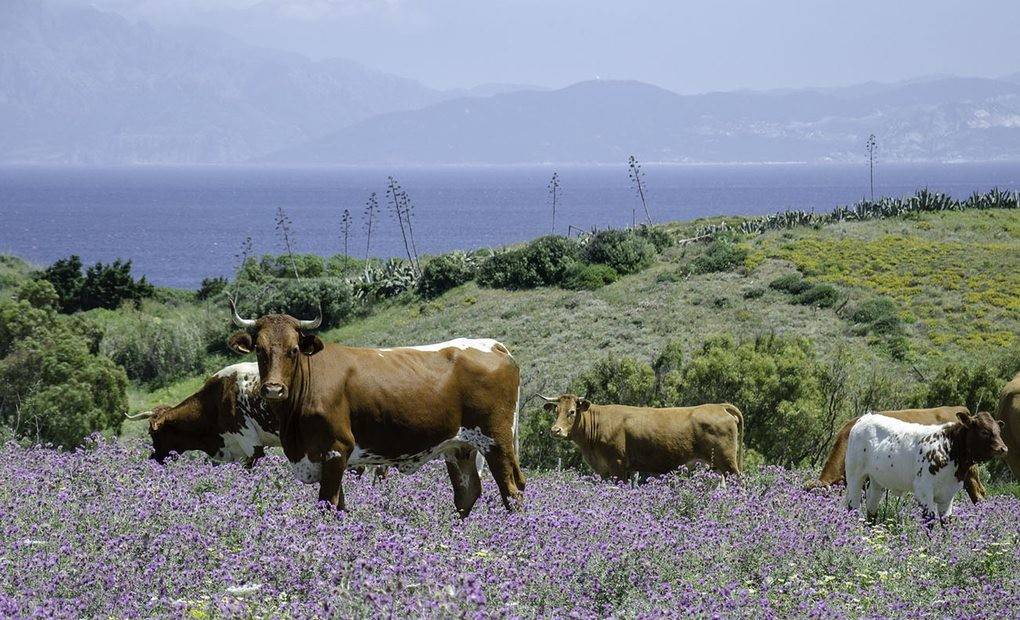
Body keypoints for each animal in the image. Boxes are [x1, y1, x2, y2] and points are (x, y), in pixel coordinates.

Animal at [226, 301, 522, 515]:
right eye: (260, 350)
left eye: (293, 350)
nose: (273, 389)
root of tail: (491, 345)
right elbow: (340, 506)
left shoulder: (336, 449)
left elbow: (329, 505)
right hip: (460, 447)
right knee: (467, 494)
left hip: (496, 440)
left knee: (512, 491)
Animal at [542, 391, 742, 479]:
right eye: (556, 411)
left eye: (572, 412)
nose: (555, 430)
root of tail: (720, 406)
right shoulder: (605, 470)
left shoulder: (618, 465)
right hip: (717, 465)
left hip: (728, 462)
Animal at [844, 409, 1011, 526]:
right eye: (984, 431)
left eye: (998, 430)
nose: (1003, 448)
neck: (949, 448)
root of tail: (865, 418)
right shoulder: (924, 490)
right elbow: (929, 520)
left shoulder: (948, 495)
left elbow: (946, 522)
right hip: (854, 475)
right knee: (852, 507)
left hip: (877, 481)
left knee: (872, 509)